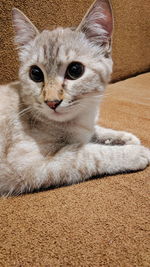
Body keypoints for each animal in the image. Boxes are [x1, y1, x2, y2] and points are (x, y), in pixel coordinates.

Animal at [0, 0, 149, 197]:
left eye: (75, 70)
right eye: (35, 73)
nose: (52, 102)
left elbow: (96, 131)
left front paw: (123, 137)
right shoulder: (24, 164)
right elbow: (87, 154)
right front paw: (132, 153)